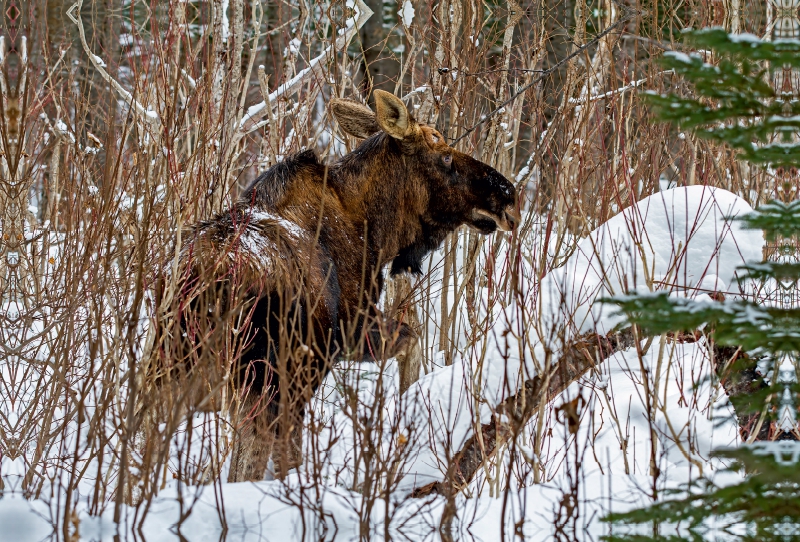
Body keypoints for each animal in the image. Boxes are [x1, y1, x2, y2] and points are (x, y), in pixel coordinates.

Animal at [158, 90, 520, 484]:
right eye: (444, 156)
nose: (509, 194)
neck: (376, 231)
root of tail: (206, 281)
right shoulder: (346, 332)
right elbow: (412, 338)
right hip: (270, 376)